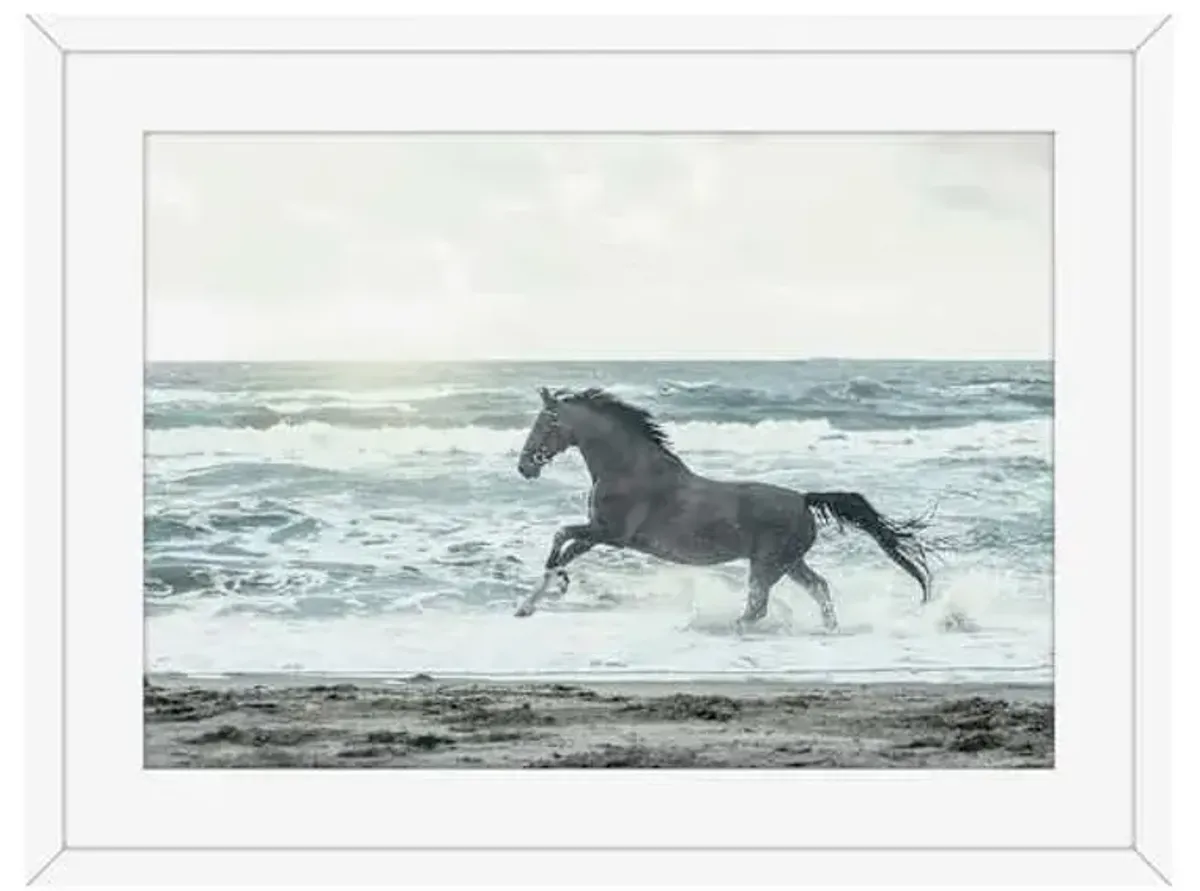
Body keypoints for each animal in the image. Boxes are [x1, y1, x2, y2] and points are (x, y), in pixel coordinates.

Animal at [514, 386, 934, 626]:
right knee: (819, 587)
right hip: (789, 562)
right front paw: (535, 600)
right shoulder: (599, 534)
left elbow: (561, 537)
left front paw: (556, 585)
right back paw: (828, 629)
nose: (524, 467)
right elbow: (565, 548)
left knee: (759, 606)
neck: (628, 469)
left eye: (546, 423)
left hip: (767, 564)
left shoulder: (611, 533)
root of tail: (803, 499)